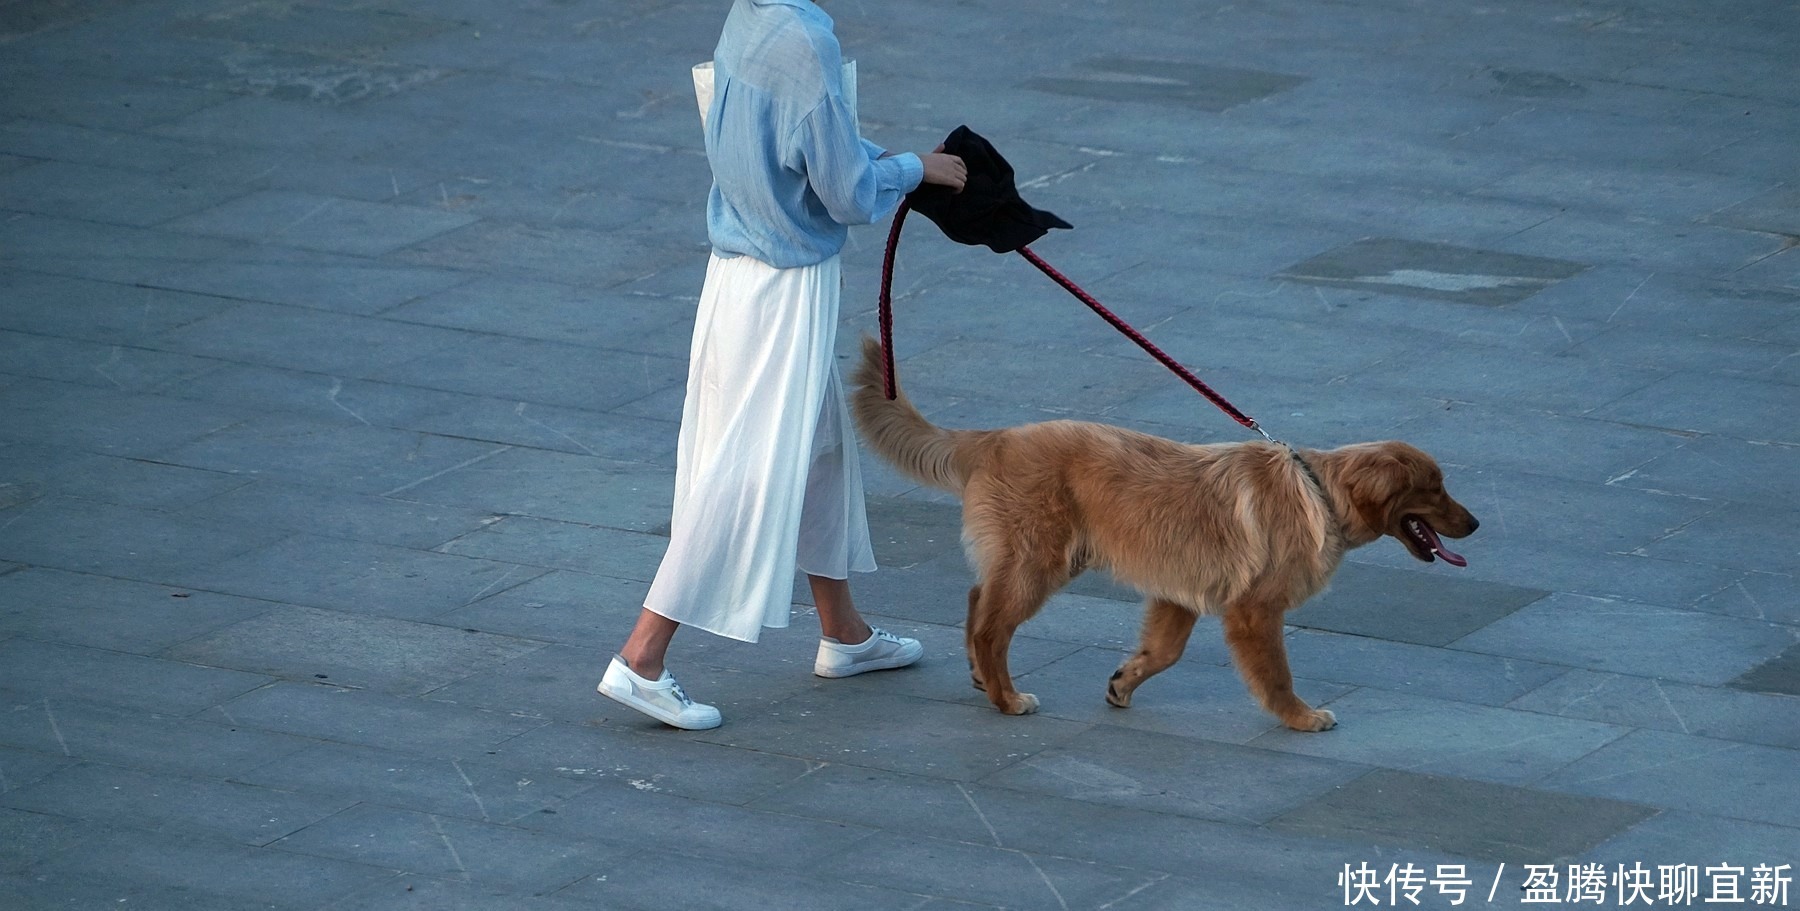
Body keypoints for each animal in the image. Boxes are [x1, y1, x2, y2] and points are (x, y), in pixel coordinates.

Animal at [849, 338, 1483, 730]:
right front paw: (1301, 717)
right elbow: (1277, 676)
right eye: (1435, 488)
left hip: (1035, 560)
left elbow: (1163, 652)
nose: (1476, 524)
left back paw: (985, 680)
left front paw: (1123, 683)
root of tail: (993, 438)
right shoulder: (1254, 611)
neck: (1320, 492)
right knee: (990, 626)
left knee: (978, 599)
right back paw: (1006, 697)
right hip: (1039, 564)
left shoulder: (1180, 596)